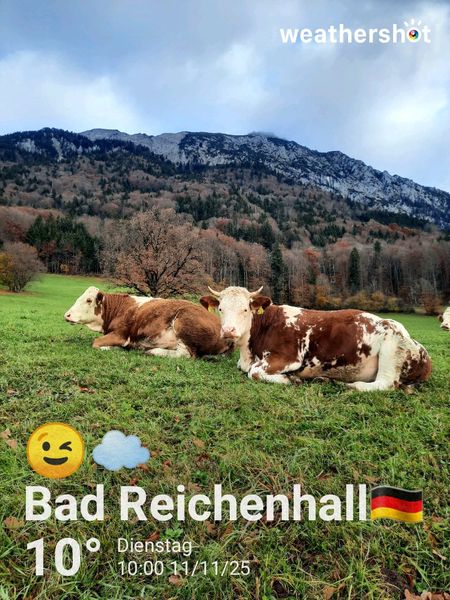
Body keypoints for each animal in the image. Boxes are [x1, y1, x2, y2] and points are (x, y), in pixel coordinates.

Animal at [64, 286, 232, 358]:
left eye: (88, 300)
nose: (67, 315)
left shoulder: (120, 334)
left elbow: (95, 343)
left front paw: (113, 348)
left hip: (182, 325)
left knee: (186, 354)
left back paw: (151, 351)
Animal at [200, 286, 432, 391]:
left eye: (245, 309)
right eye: (220, 308)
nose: (228, 330)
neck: (248, 351)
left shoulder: (287, 357)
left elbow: (254, 373)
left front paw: (291, 379)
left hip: (392, 347)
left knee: (385, 383)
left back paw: (350, 385)